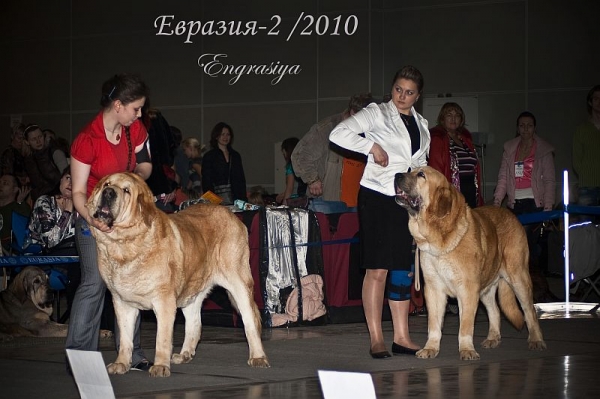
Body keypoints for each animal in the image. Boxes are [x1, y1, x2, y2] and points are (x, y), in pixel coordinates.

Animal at [86, 173, 270, 378]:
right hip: (192, 293)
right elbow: (126, 339)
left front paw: (160, 366)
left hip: (239, 285)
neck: (123, 244)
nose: (109, 192)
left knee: (250, 321)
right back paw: (184, 355)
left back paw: (258, 357)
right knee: (195, 324)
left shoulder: (164, 301)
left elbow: (162, 338)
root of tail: (232, 216)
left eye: (126, 190)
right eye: (107, 184)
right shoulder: (123, 303)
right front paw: (121, 364)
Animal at [396, 167, 548, 360]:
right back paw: (492, 338)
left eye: (421, 175)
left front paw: (467, 349)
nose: (397, 175)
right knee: (495, 311)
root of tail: (511, 214)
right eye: (410, 170)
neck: (439, 240)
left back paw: (536, 340)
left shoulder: (468, 289)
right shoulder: (434, 290)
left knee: (530, 312)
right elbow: (434, 325)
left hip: (518, 279)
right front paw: (431, 348)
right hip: (486, 288)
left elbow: (466, 325)